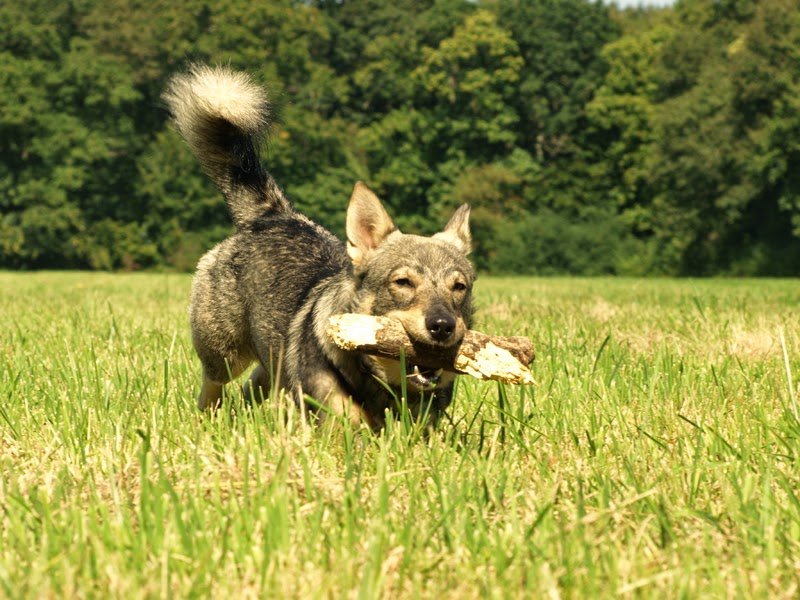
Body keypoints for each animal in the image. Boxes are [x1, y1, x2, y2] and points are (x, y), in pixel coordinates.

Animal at [163, 65, 476, 428]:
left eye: (459, 287)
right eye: (402, 282)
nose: (442, 326)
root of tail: (275, 214)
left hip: (271, 359)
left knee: (254, 385)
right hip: (224, 353)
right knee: (213, 388)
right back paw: (209, 421)